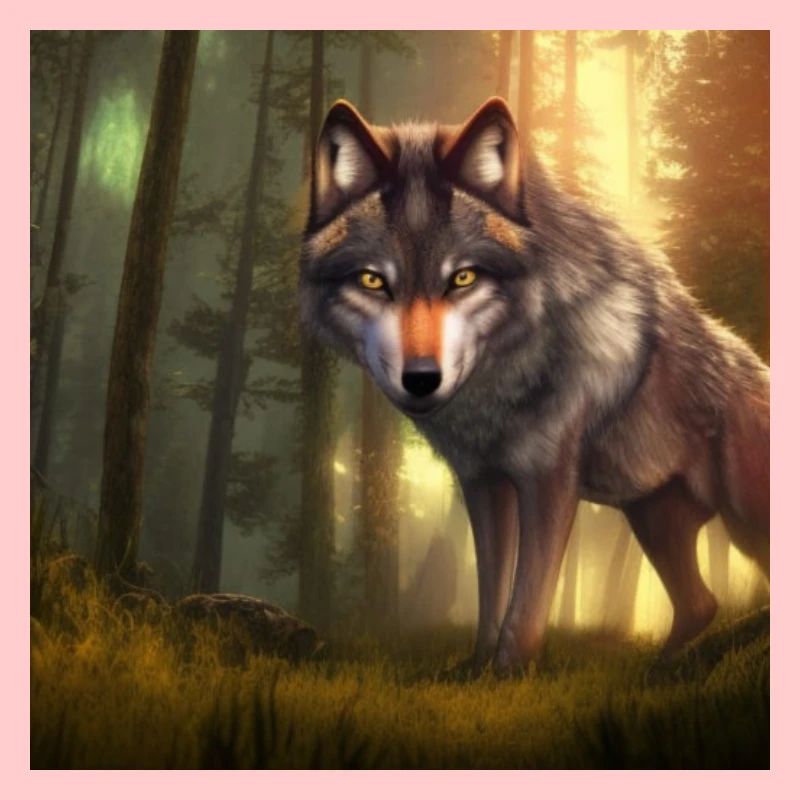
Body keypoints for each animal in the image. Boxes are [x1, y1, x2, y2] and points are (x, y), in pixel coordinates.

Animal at [299, 97, 770, 674]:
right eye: (373, 280)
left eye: (462, 278)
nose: (422, 379)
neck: (499, 383)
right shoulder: (483, 482)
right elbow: (492, 587)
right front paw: (476, 670)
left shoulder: (547, 481)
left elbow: (528, 598)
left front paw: (508, 671)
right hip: (652, 519)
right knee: (701, 605)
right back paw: (661, 671)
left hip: (744, 521)